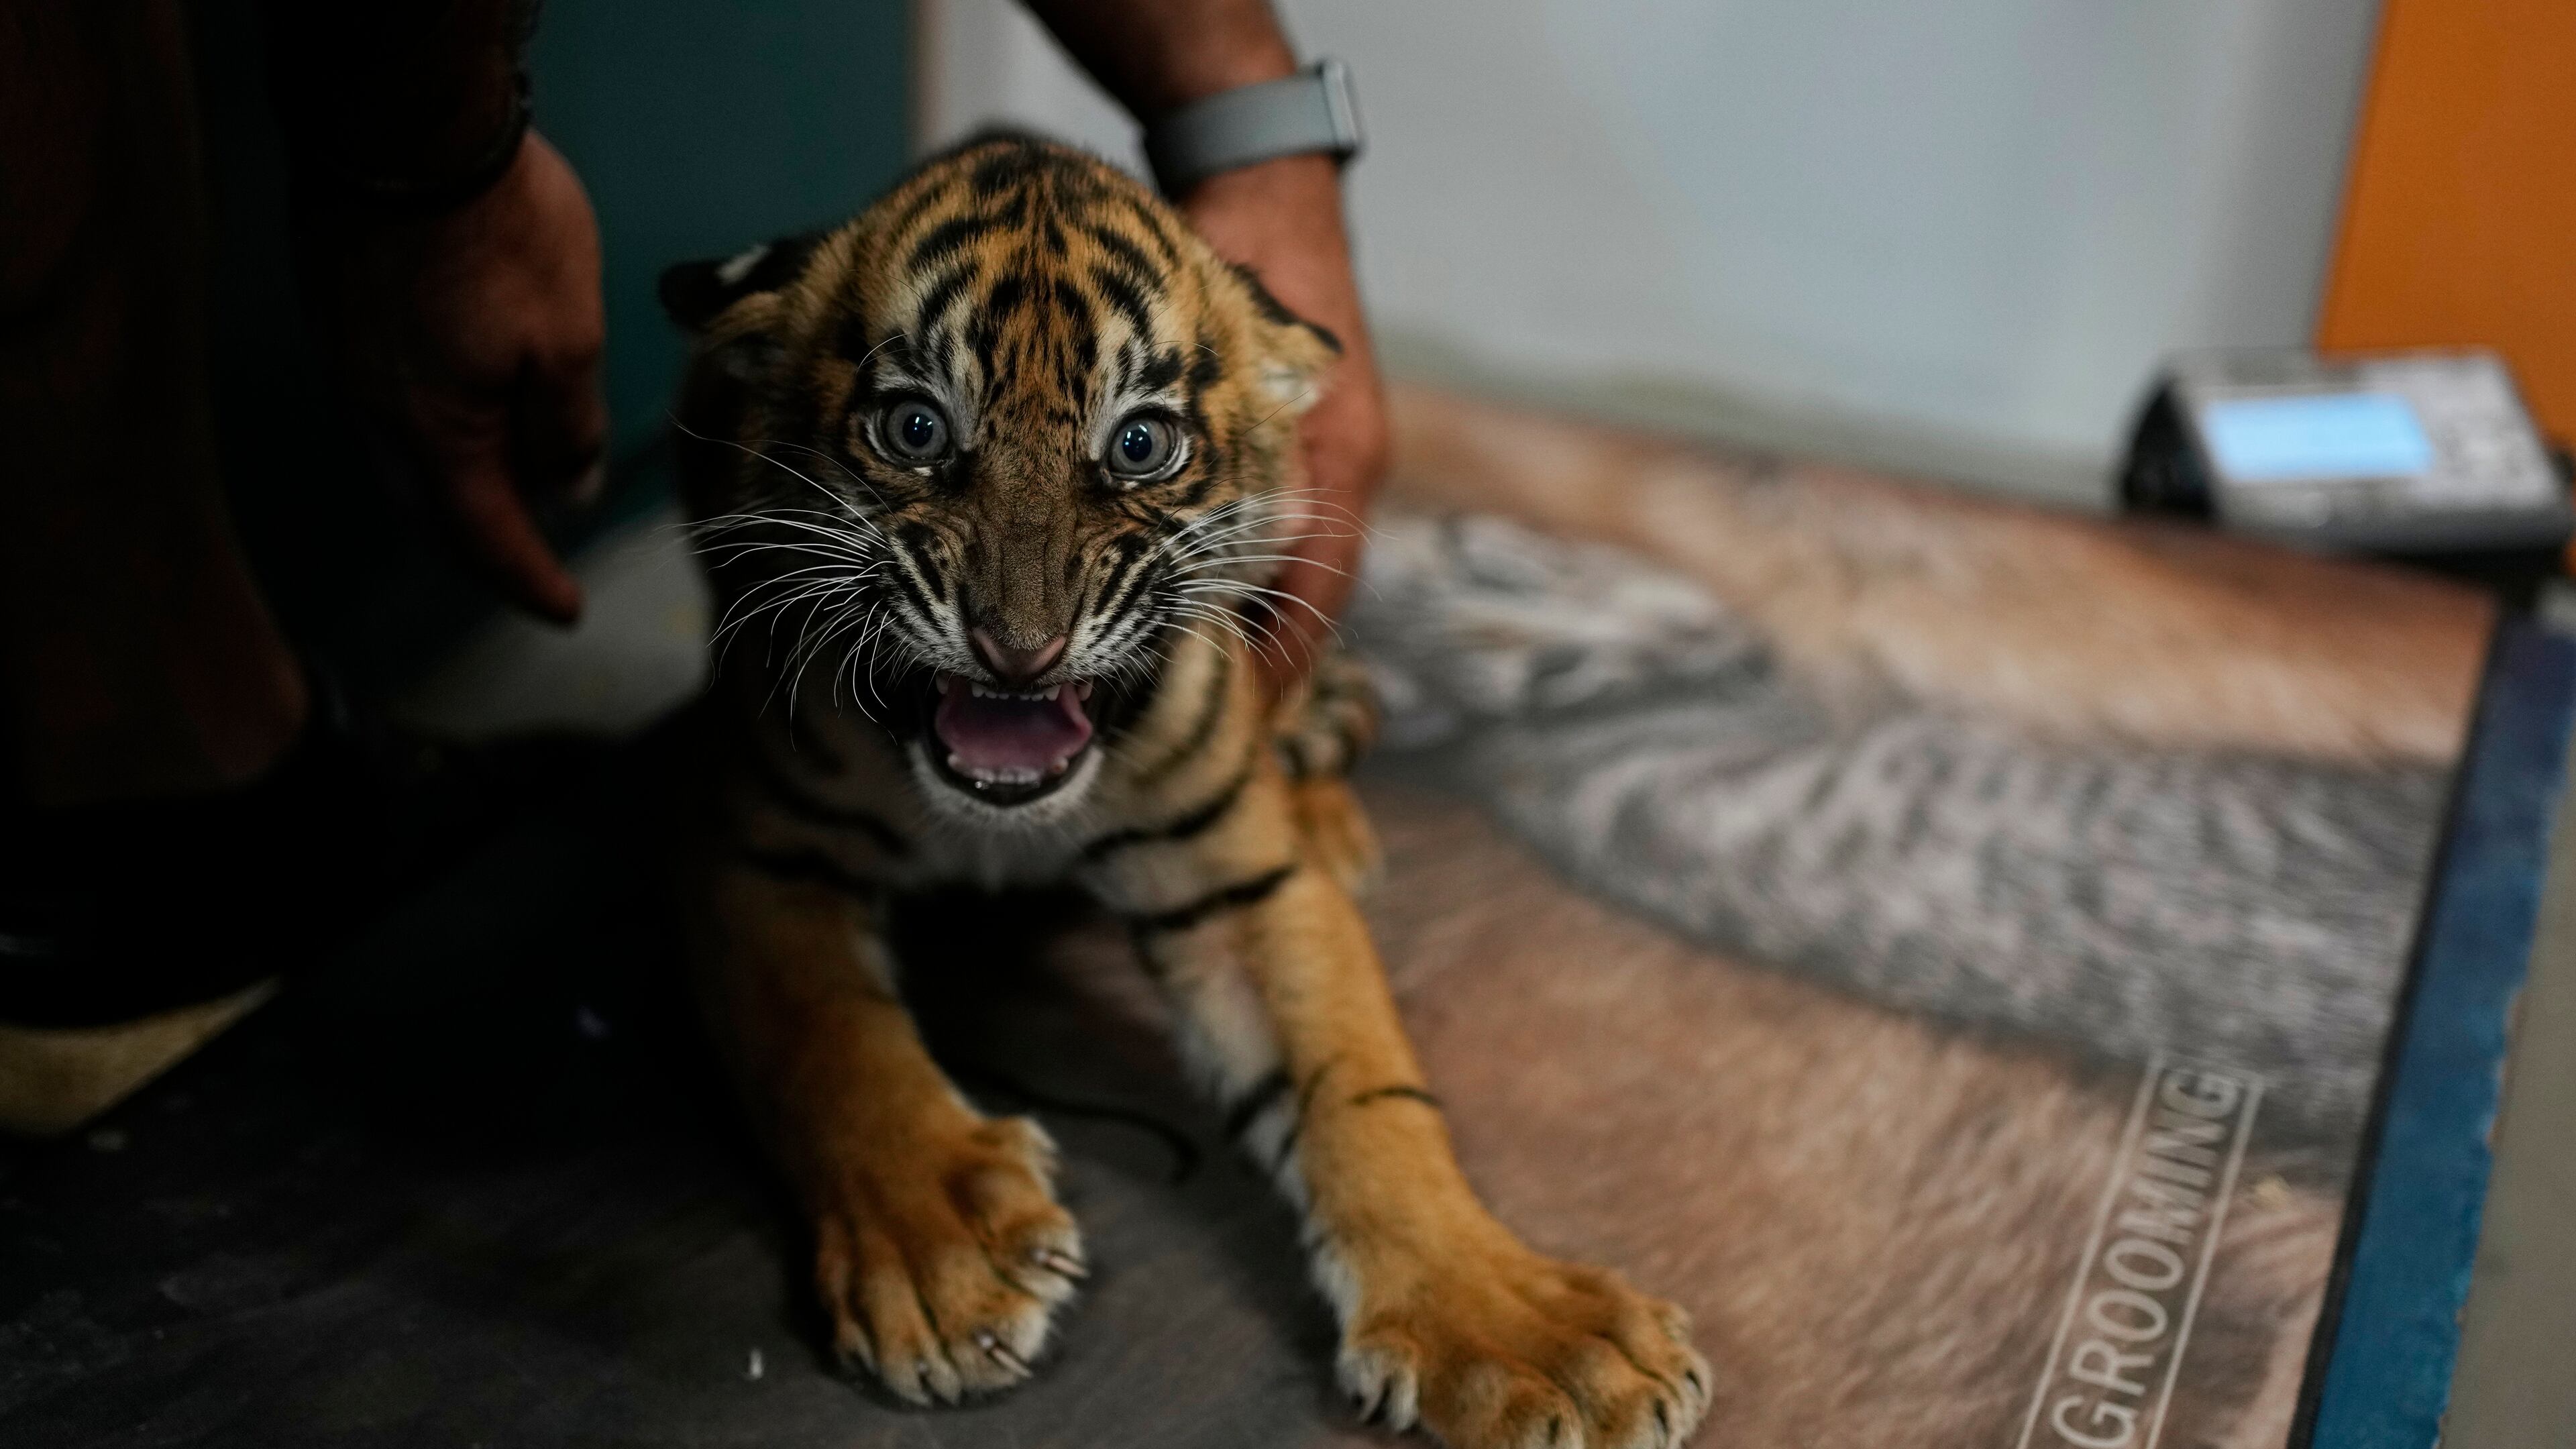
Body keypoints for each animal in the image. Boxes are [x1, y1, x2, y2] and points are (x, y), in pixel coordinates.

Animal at [656, 132, 1712, 1449]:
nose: (1020, 652)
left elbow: (1365, 1090)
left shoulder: (1236, 876)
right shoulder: (757, 845)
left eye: (1140, 445)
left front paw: (1520, 1330)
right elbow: (834, 1045)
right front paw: (942, 1259)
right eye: (912, 428)